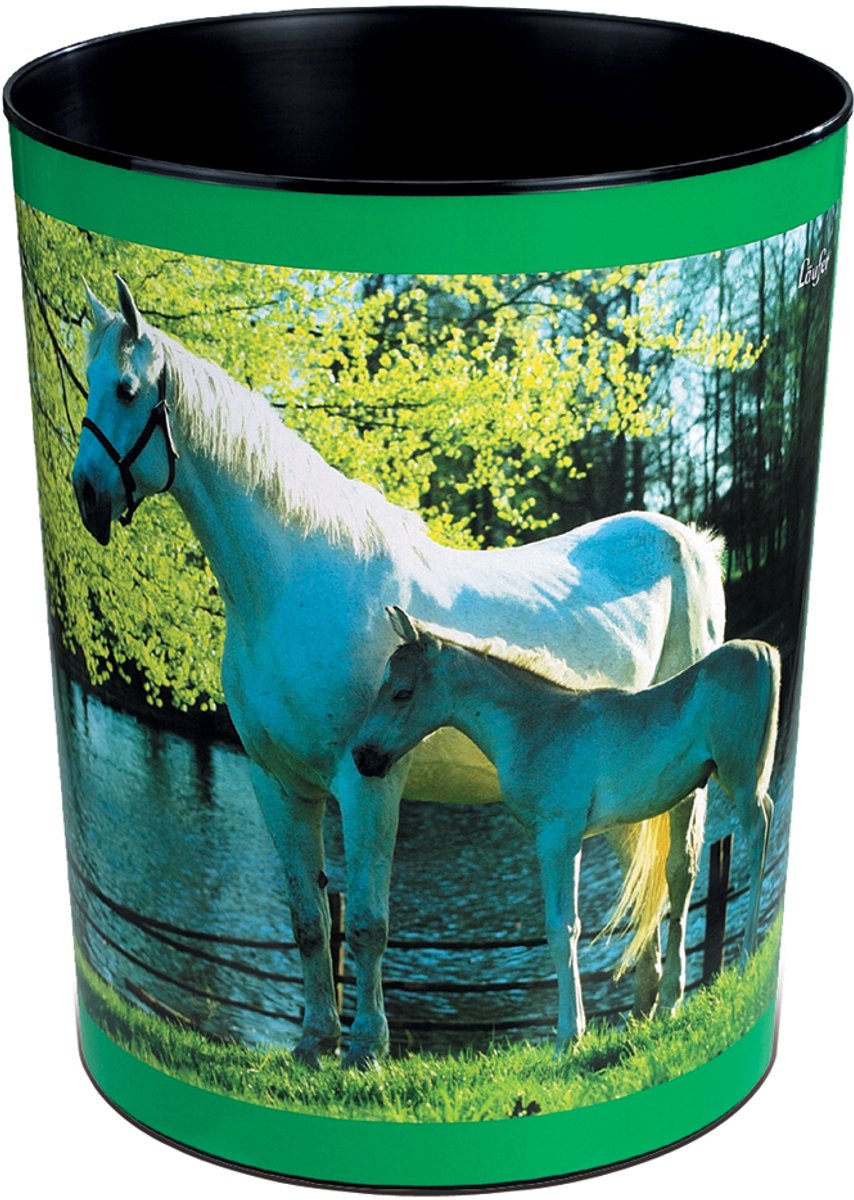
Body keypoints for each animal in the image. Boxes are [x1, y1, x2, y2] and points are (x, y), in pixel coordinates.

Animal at [71, 274, 726, 1066]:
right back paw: (640, 1008)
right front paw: (314, 1043)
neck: (294, 583)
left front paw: (366, 1050)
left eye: (128, 388)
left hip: (692, 776)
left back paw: (670, 1003)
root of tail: (690, 542)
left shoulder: (367, 781)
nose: (87, 497)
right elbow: (307, 920)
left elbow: (368, 922)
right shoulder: (278, 783)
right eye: (89, 381)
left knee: (681, 872)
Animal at [353, 608, 779, 1048]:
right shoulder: (561, 839)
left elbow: (563, 929)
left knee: (759, 832)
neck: (537, 723)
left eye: (402, 692)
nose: (363, 757)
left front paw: (569, 1035)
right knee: (686, 871)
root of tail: (760, 651)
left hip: (741, 780)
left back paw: (747, 957)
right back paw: (671, 1000)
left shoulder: (558, 837)